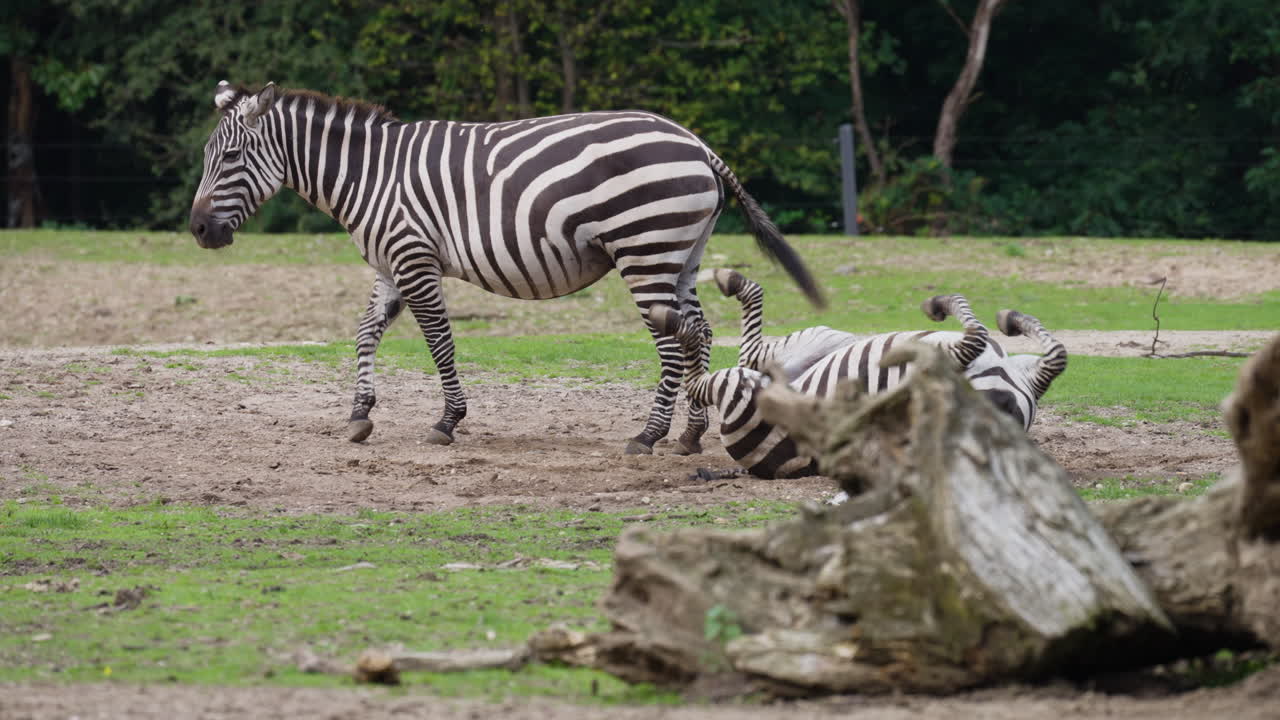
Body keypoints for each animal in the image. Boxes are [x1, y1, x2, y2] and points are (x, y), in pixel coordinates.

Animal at [188, 81, 824, 455]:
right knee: (699, 332)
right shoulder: (391, 262)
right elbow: (366, 331)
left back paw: (648, 436)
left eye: (231, 156)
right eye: (207, 155)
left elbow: (439, 340)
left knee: (674, 342)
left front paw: (448, 420)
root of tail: (697, 144)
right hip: (680, 256)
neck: (369, 176)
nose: (198, 231)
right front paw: (359, 414)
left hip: (645, 251)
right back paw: (690, 434)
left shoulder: (414, 257)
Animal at [653, 290, 1067, 479]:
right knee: (750, 353)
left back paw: (680, 322)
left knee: (710, 374)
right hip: (814, 346)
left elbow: (981, 335)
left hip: (752, 382)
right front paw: (1009, 318)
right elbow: (1056, 354)